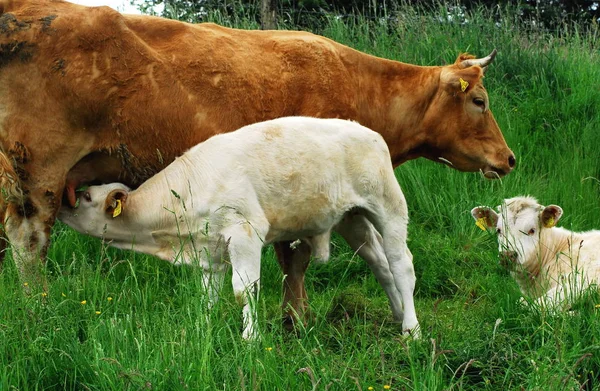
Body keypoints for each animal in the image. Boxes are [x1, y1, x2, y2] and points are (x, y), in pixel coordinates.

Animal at [58, 116, 420, 340]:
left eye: (87, 196)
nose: (62, 204)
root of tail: (367, 131)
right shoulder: (210, 248)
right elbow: (209, 296)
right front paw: (202, 329)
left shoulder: (244, 230)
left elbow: (243, 289)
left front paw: (250, 338)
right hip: (352, 217)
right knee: (379, 263)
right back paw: (397, 313)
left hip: (388, 206)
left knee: (401, 264)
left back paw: (411, 329)